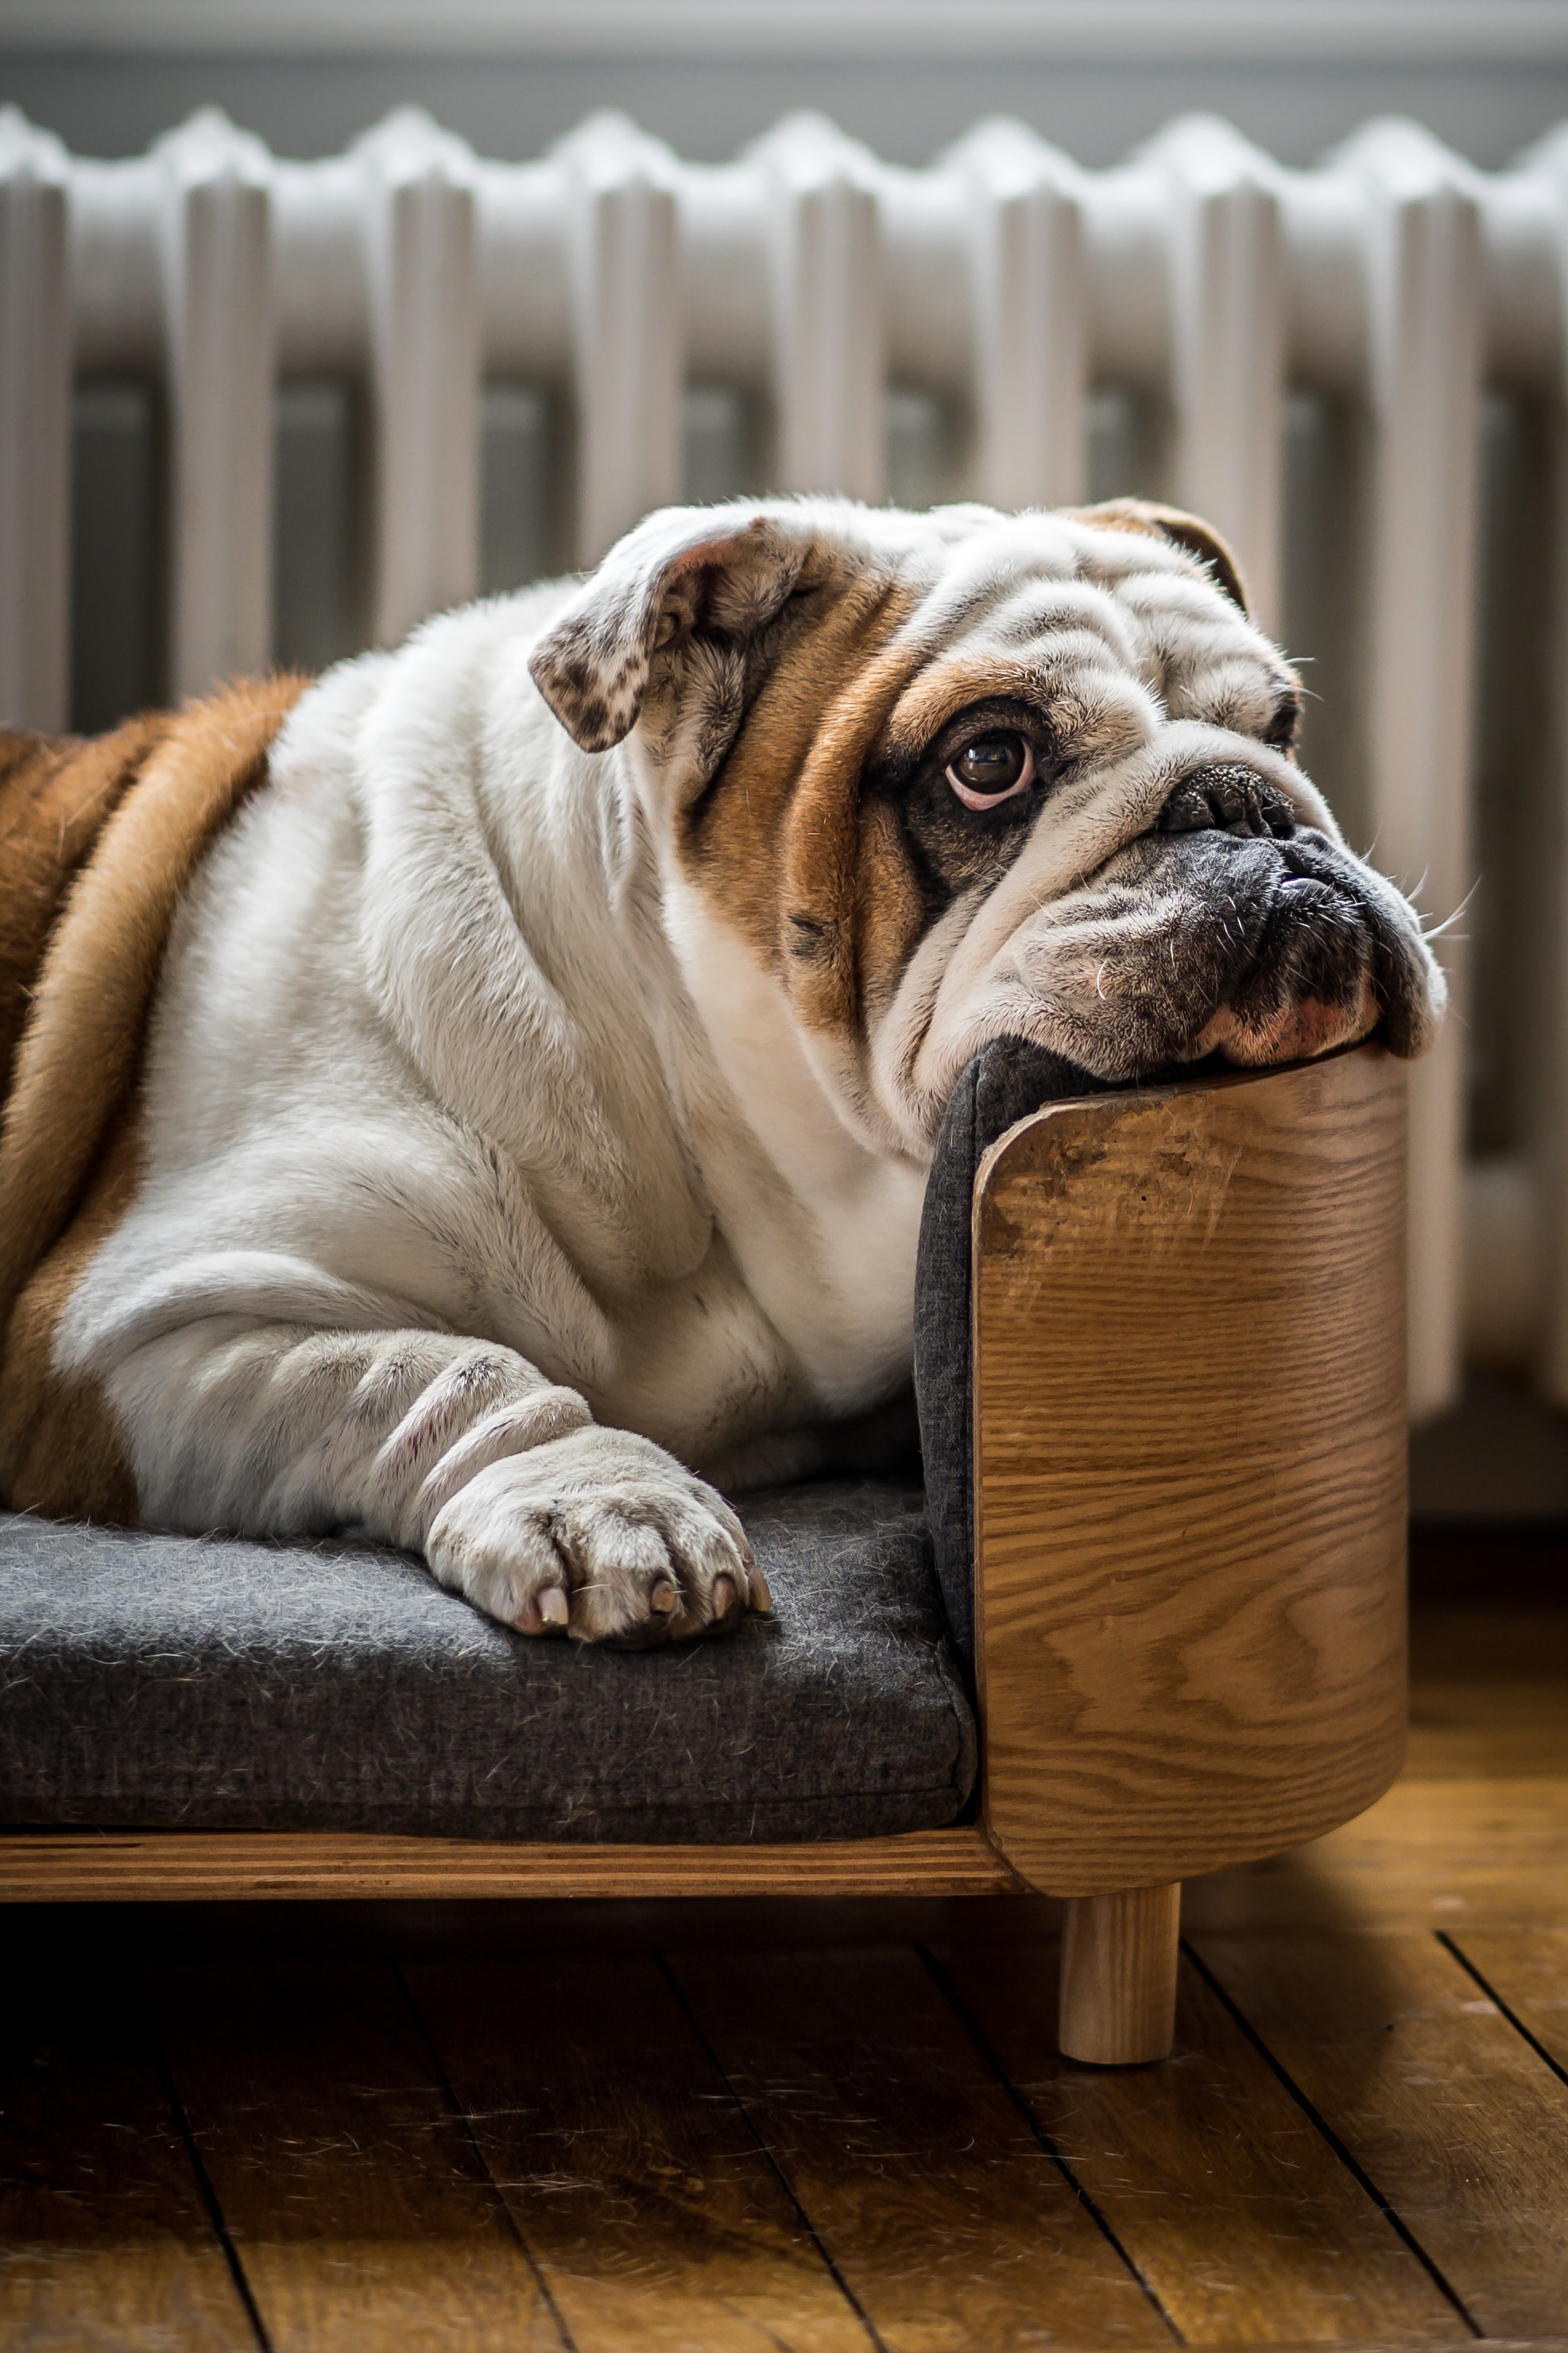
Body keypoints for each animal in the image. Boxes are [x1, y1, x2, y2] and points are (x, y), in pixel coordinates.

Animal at [0, 491, 1448, 1638]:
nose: (1245, 804)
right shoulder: (125, 1335)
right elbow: (428, 1372)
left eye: (1282, 721)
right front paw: (604, 1504)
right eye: (989, 761)